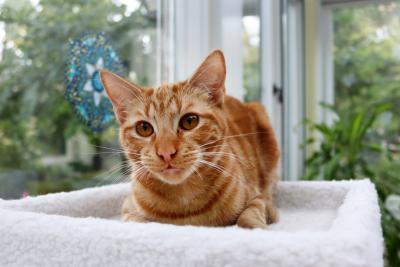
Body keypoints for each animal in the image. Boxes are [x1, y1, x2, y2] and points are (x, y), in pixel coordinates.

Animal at [101, 49, 278, 228]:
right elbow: (140, 222)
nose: (166, 153)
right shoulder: (128, 209)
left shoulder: (255, 196)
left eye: (189, 121)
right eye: (144, 128)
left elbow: (250, 215)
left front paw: (252, 226)